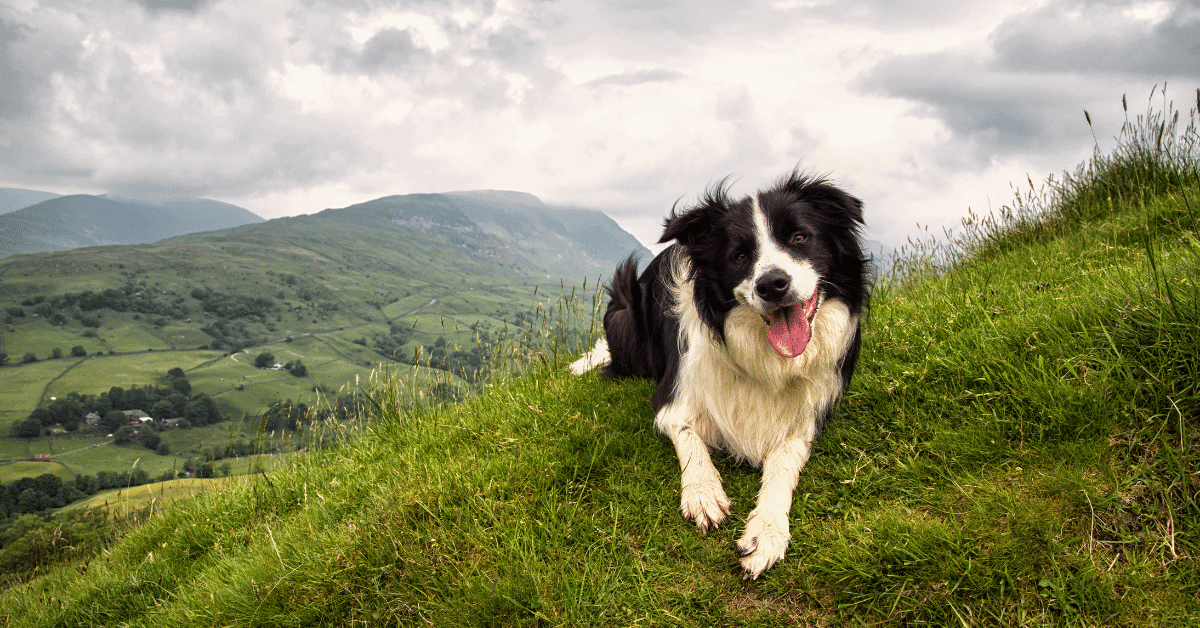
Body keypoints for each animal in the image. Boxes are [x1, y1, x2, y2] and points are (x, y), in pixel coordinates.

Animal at [566, 170, 868, 581]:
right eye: (739, 256)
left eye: (799, 237)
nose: (772, 284)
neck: (763, 357)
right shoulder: (673, 397)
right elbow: (689, 437)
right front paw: (703, 492)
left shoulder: (807, 418)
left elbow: (783, 465)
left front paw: (767, 531)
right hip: (624, 311)